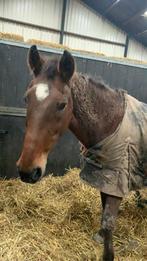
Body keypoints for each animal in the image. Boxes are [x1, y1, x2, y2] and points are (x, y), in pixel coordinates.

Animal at [16, 45, 147, 258]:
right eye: (26, 98)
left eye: (62, 105)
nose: (28, 171)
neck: (111, 124)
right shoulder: (105, 179)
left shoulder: (117, 181)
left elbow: (108, 224)